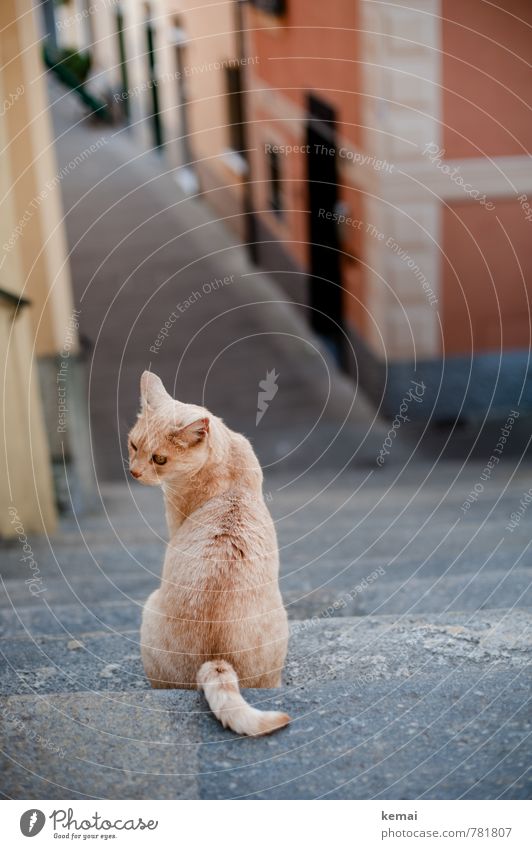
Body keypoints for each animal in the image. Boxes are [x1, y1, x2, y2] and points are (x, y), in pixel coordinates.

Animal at [127, 372, 288, 736]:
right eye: (133, 446)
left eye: (159, 459)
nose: (134, 472)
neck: (226, 461)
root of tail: (216, 660)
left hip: (148, 608)